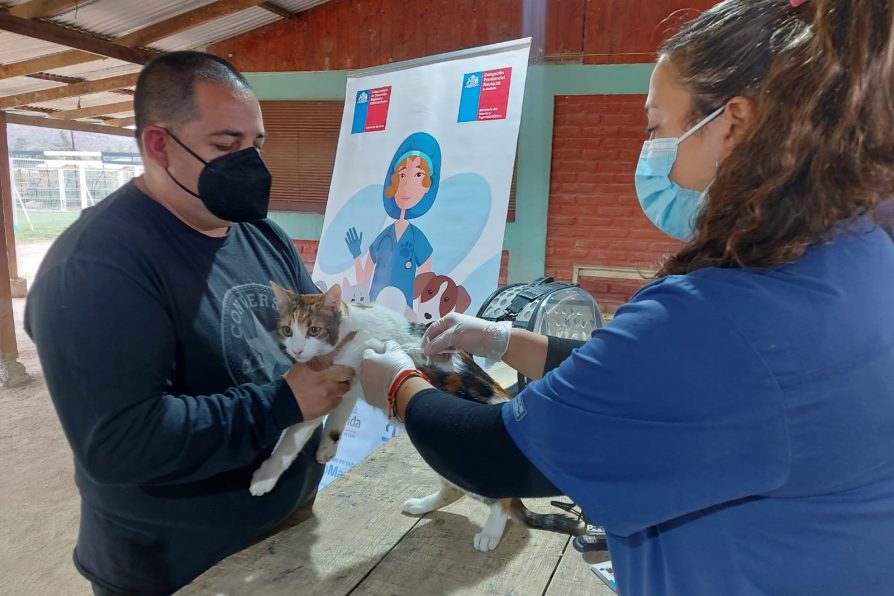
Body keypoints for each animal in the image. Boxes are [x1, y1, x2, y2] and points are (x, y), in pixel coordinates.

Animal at [248, 282, 584, 552]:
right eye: (287, 330)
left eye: (314, 329)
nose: (297, 350)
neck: (347, 329)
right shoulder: (341, 386)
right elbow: (329, 421)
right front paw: (325, 449)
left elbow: (292, 437)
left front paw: (264, 479)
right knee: (453, 490)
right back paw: (423, 505)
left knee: (499, 497)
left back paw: (491, 532)